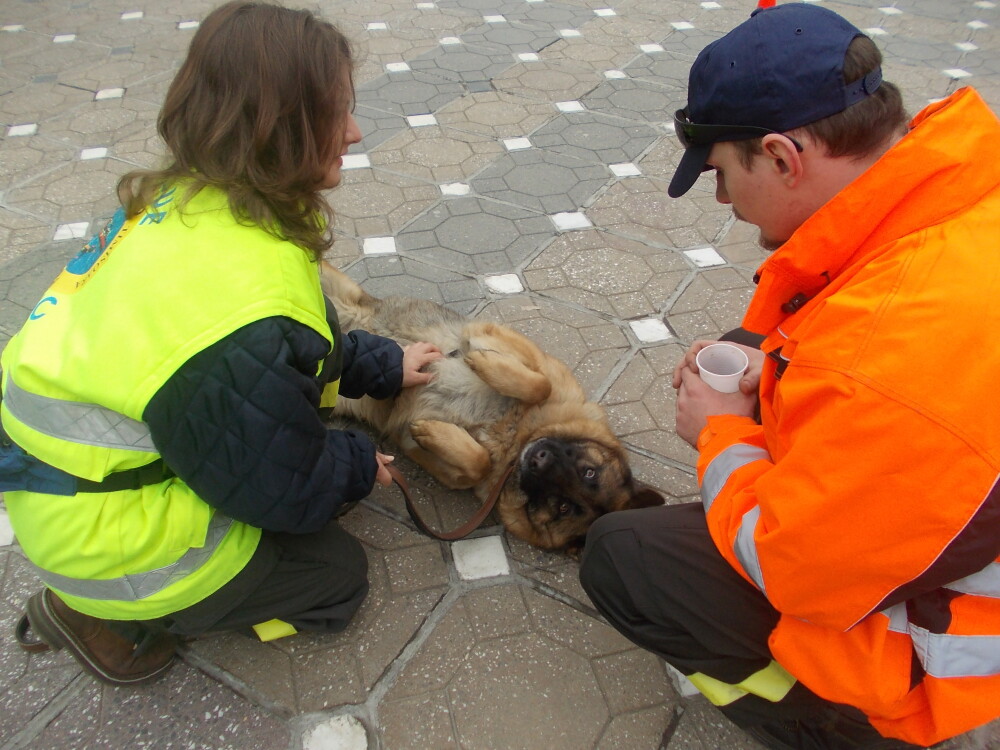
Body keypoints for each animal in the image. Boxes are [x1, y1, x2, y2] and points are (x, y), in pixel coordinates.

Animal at [322, 262, 664, 556]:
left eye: (562, 507)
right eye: (588, 471)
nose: (538, 457)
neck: (515, 439)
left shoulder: (429, 455)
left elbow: (478, 462)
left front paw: (434, 432)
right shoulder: (511, 345)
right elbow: (540, 385)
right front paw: (483, 362)